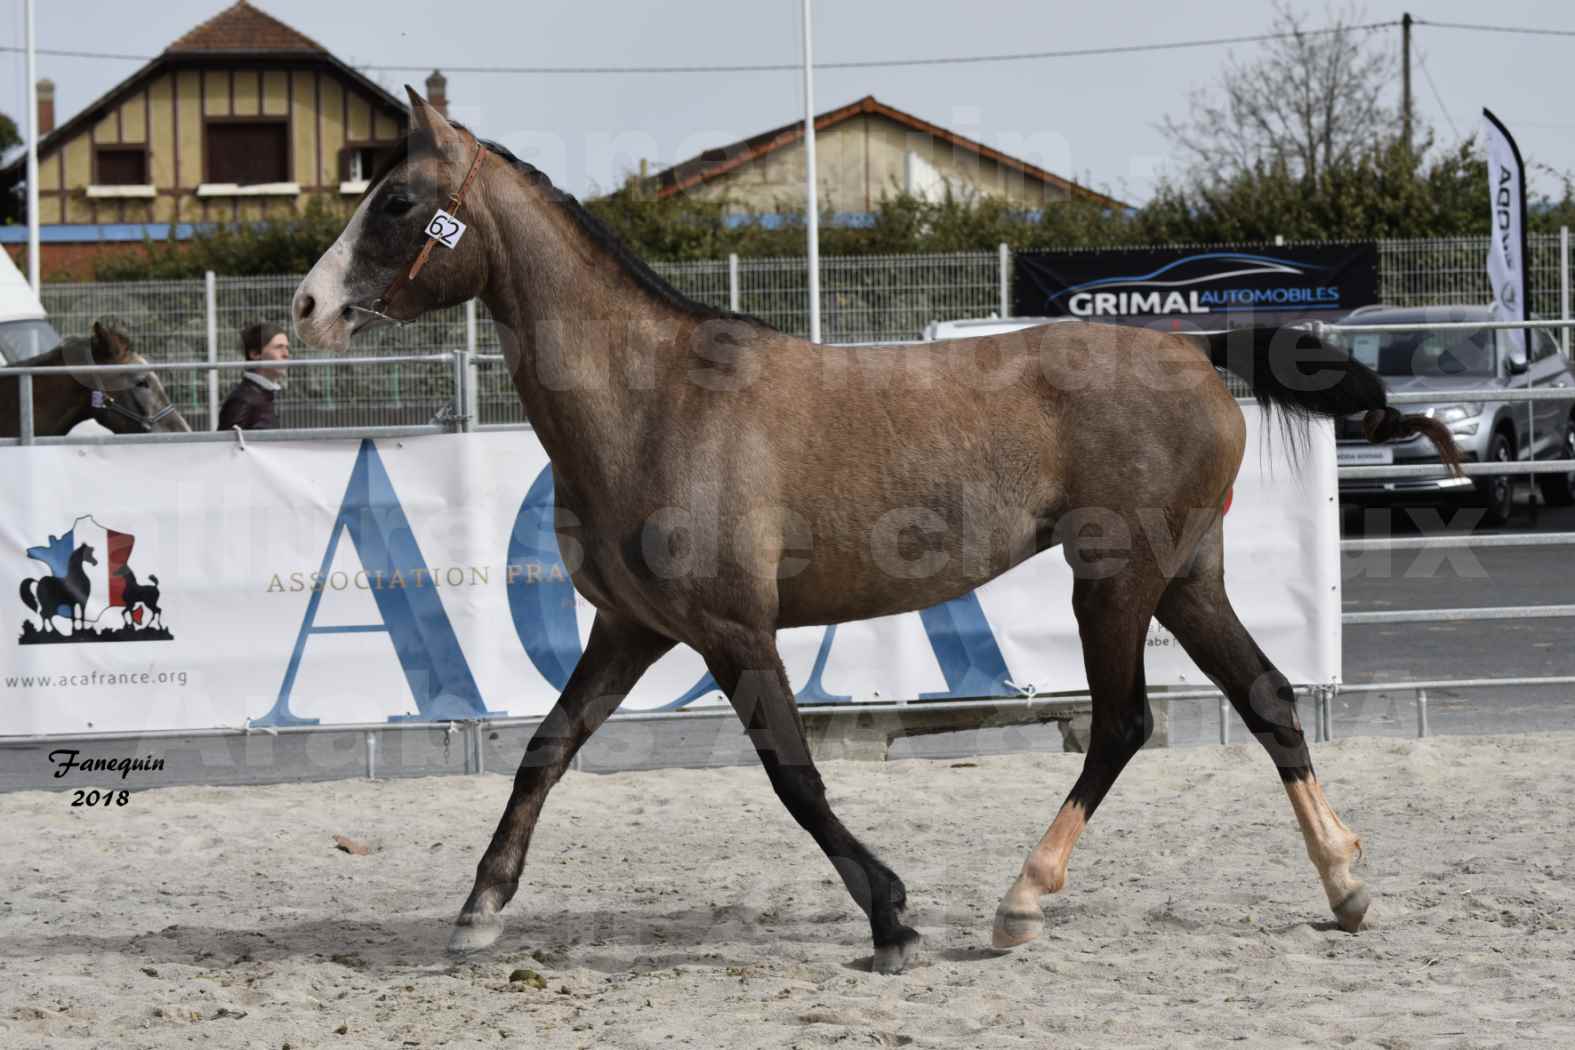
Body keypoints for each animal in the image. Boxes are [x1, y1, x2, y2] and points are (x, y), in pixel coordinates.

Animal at [289, 92, 1455, 976]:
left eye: (397, 200)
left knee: (1123, 723)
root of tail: (1195, 349)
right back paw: (1346, 884)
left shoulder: (733, 631)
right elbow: (544, 752)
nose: (304, 308)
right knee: (1268, 699)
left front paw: (892, 916)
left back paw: (1021, 902)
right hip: (1186, 579)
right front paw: (477, 914)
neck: (656, 399)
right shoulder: (633, 630)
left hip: (1114, 580)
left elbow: (793, 775)